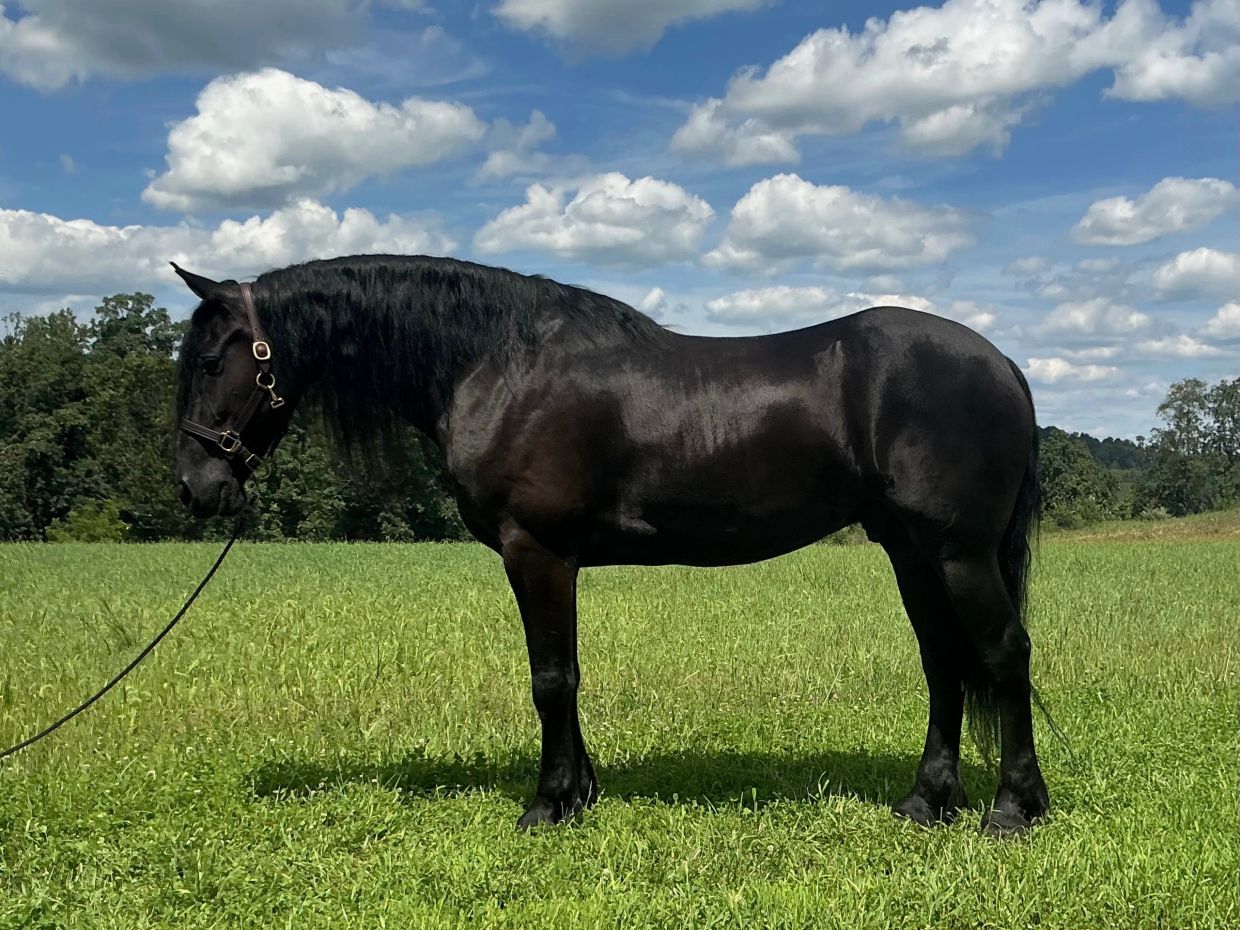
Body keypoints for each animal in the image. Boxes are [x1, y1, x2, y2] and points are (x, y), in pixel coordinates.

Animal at [172, 254, 1049, 835]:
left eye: (212, 360)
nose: (195, 486)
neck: (498, 365)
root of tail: (1003, 362)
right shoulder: (558, 560)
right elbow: (569, 674)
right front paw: (580, 792)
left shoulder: (533, 551)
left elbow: (549, 679)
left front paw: (547, 803)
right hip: (910, 550)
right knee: (943, 661)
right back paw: (927, 802)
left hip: (959, 552)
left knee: (1004, 653)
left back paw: (1012, 809)